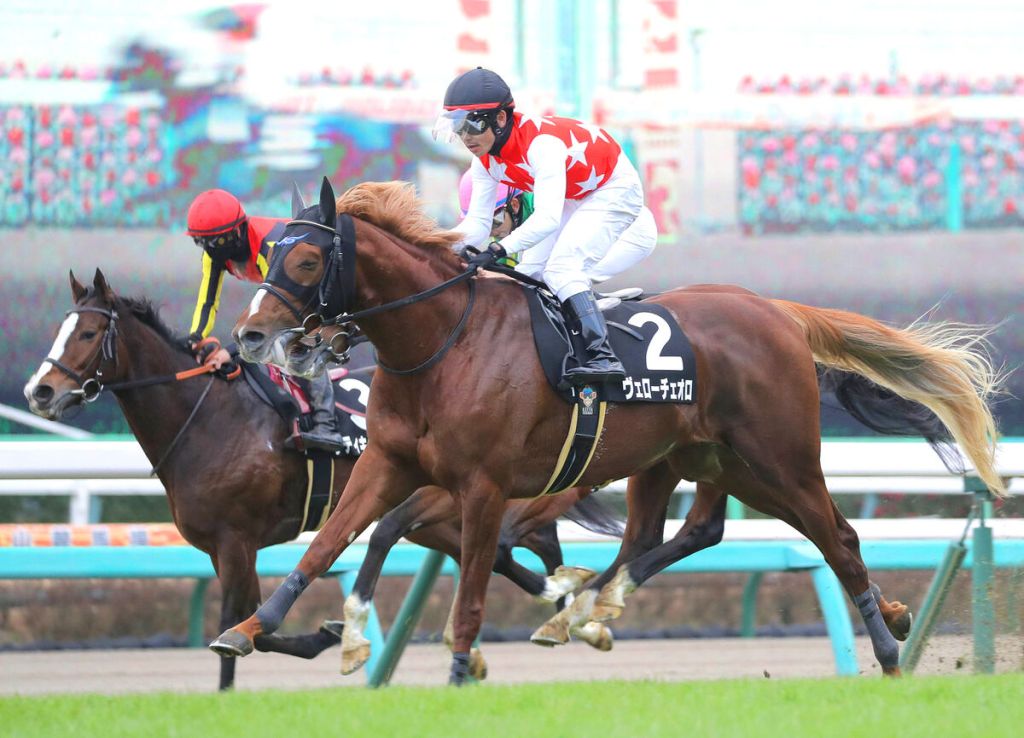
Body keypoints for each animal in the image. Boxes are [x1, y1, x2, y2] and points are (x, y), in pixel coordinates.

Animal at [24, 270, 614, 684]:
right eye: (60, 328)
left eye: (90, 332)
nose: (40, 391)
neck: (208, 417)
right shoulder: (219, 546)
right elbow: (246, 623)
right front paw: (325, 635)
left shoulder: (236, 540)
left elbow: (240, 622)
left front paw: (317, 640)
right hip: (437, 515)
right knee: (508, 552)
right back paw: (564, 601)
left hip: (447, 498)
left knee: (515, 544)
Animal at [213, 178, 1004, 684]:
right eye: (267, 254)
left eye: (306, 258)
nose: (251, 335)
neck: (441, 342)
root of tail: (776, 310)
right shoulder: (389, 464)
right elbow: (329, 543)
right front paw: (254, 631)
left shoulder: (483, 485)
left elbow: (470, 582)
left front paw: (461, 665)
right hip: (700, 459)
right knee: (676, 534)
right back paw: (588, 611)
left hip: (779, 458)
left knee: (835, 537)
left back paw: (890, 649)